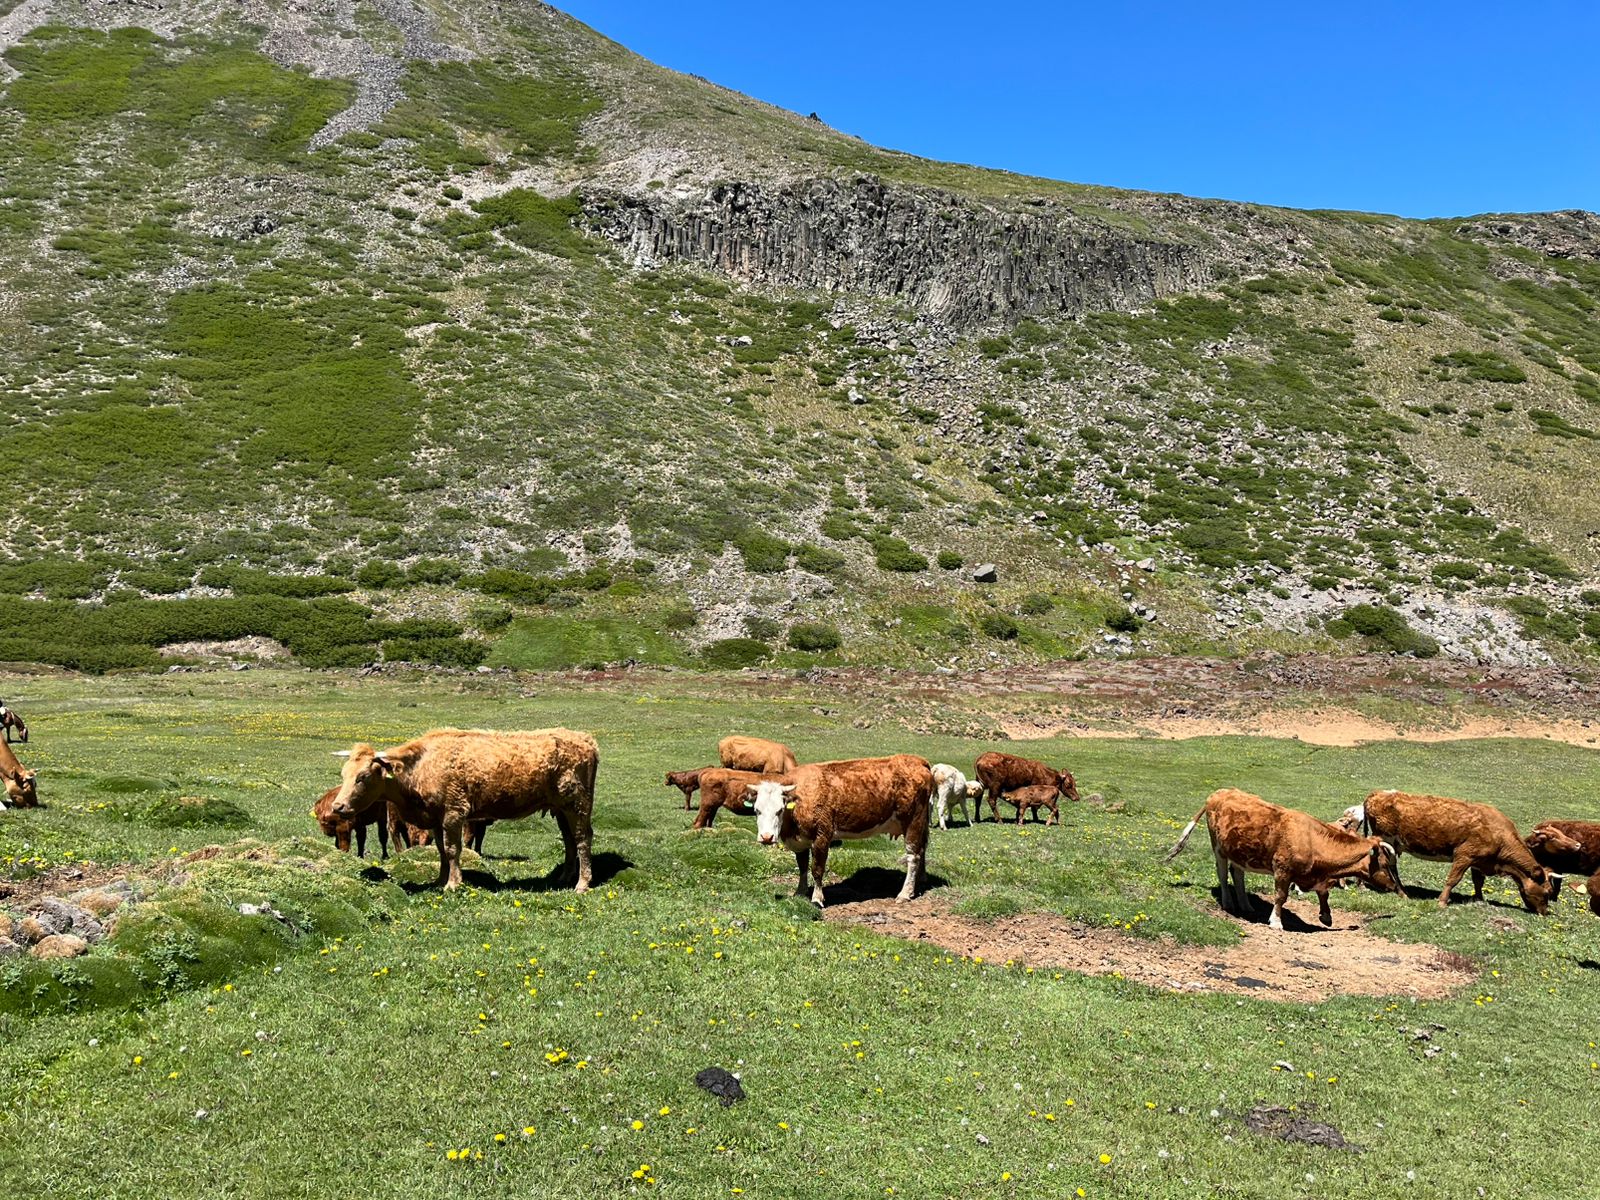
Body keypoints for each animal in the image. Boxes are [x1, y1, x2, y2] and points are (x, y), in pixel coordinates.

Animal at [331, 727, 597, 892]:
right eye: (344, 774)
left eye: (363, 777)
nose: (337, 806)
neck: (422, 766)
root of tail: (585, 740)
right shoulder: (436, 820)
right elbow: (440, 850)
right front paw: (440, 880)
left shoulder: (453, 813)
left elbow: (452, 849)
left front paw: (453, 883)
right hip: (561, 809)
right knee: (569, 840)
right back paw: (564, 877)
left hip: (578, 806)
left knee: (583, 839)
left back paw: (582, 883)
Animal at [746, 754, 933, 907]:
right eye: (756, 810)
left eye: (779, 810)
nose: (766, 837)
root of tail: (918, 760)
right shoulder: (800, 840)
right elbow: (802, 866)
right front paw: (800, 892)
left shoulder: (822, 836)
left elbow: (817, 869)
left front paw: (817, 898)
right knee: (922, 849)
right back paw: (920, 880)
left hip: (913, 820)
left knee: (913, 856)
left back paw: (905, 893)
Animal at [1164, 788, 1402, 930]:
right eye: (1384, 864)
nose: (1394, 887)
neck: (1313, 841)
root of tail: (1219, 792)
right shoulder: (1282, 871)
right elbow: (1280, 897)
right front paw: (1276, 921)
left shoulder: (1316, 876)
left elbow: (1323, 894)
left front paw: (1326, 916)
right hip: (1218, 848)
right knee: (1223, 875)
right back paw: (1228, 902)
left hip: (1238, 853)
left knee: (1238, 875)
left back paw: (1246, 904)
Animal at [1363, 789, 1558, 915]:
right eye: (1548, 892)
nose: (1544, 912)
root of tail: (1377, 794)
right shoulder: (1464, 856)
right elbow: (1453, 879)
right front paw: (1442, 901)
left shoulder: (1479, 861)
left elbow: (1478, 882)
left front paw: (1479, 899)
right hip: (1385, 838)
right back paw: (1395, 891)